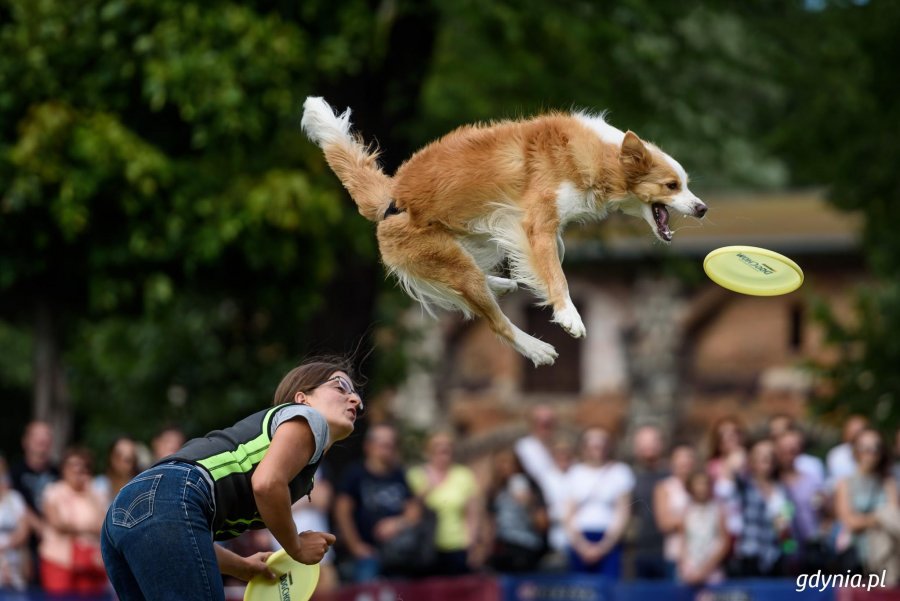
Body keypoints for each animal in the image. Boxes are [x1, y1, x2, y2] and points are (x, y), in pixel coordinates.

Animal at [304, 97, 712, 366]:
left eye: (686, 184)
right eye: (672, 185)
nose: (702, 208)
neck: (599, 156)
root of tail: (390, 199)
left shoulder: (531, 227)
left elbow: (552, 258)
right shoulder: (536, 223)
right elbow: (556, 274)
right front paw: (568, 315)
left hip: (470, 235)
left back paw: (501, 283)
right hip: (450, 258)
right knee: (494, 320)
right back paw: (536, 347)